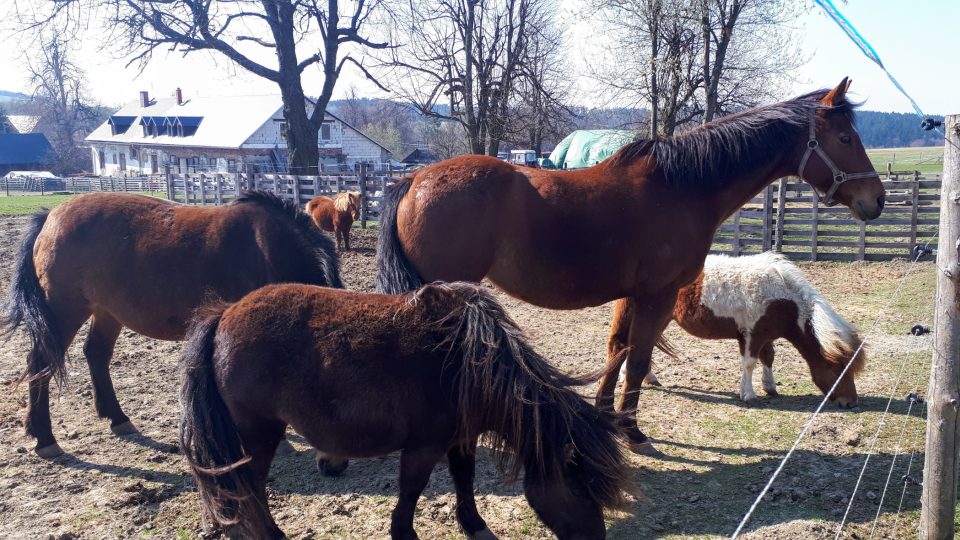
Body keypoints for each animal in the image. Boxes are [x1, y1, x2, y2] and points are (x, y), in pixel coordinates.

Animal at [0, 192, 344, 458]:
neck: (268, 252)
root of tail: (49, 217)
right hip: (64, 311)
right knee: (40, 364)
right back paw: (45, 438)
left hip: (106, 311)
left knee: (95, 354)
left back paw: (117, 418)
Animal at [178, 282, 632, 540]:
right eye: (581, 488)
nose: (597, 539)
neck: (467, 363)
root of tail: (224, 314)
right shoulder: (424, 446)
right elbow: (412, 490)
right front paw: (404, 532)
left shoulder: (461, 439)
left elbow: (464, 480)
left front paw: (474, 525)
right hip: (259, 431)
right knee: (249, 488)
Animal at [628, 253, 868, 404]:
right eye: (836, 370)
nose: (851, 402)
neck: (782, 300)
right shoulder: (753, 335)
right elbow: (750, 363)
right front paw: (749, 394)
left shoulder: (765, 336)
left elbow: (768, 358)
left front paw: (770, 387)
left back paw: (649, 378)